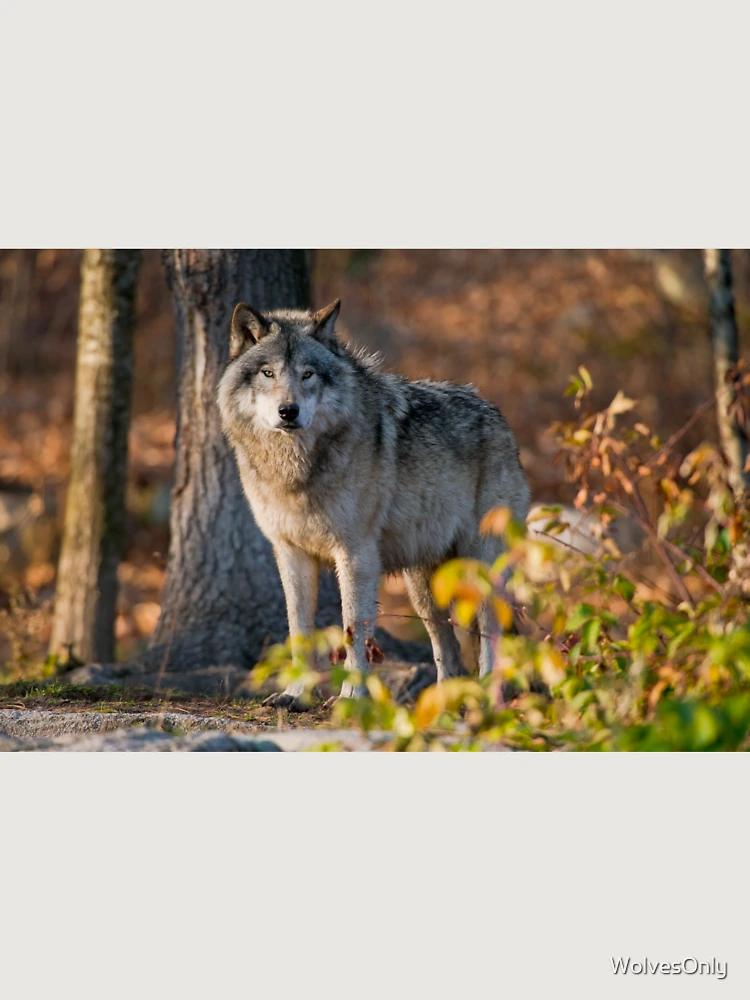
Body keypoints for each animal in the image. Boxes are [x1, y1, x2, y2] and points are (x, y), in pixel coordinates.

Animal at [217, 300, 531, 708]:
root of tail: (498, 416)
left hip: (480, 567)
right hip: (425, 590)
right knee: (447, 649)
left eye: (308, 375)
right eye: (268, 373)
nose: (288, 411)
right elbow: (298, 630)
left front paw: (352, 697)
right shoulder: (290, 553)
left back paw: (488, 700)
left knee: (490, 637)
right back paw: (442, 705)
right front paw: (296, 694)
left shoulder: (356, 554)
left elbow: (354, 630)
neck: (297, 469)